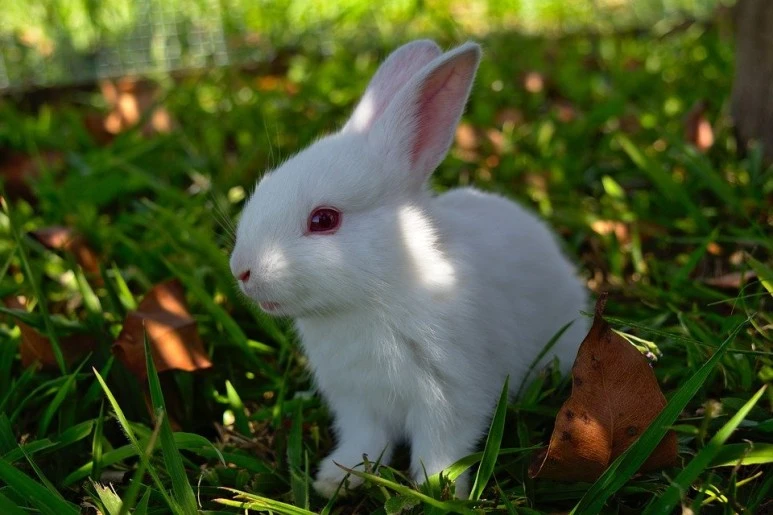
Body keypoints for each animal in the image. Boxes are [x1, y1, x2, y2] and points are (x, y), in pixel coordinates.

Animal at [229, 39, 590, 499]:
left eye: (324, 220)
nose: (241, 270)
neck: (378, 293)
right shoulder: (357, 402)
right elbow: (365, 441)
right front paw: (337, 478)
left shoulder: (449, 396)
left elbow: (442, 446)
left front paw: (438, 489)